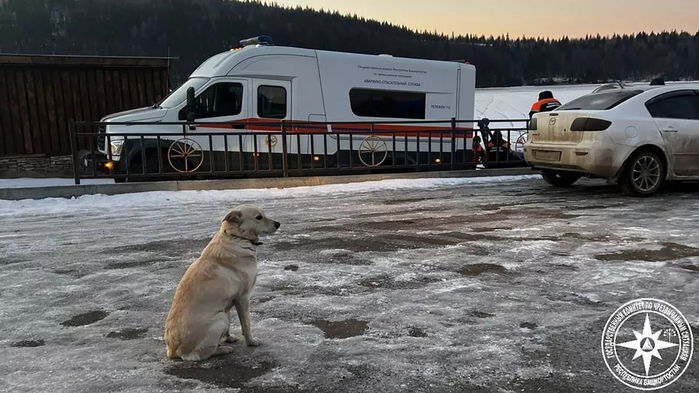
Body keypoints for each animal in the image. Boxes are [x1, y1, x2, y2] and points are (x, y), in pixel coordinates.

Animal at [165, 204, 280, 360]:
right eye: (258, 217)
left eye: (264, 214)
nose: (278, 224)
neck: (236, 237)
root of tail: (173, 351)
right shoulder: (243, 297)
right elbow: (246, 324)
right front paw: (250, 341)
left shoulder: (229, 302)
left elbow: (233, 324)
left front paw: (228, 337)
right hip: (220, 319)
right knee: (200, 354)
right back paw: (223, 349)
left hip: (223, 314)